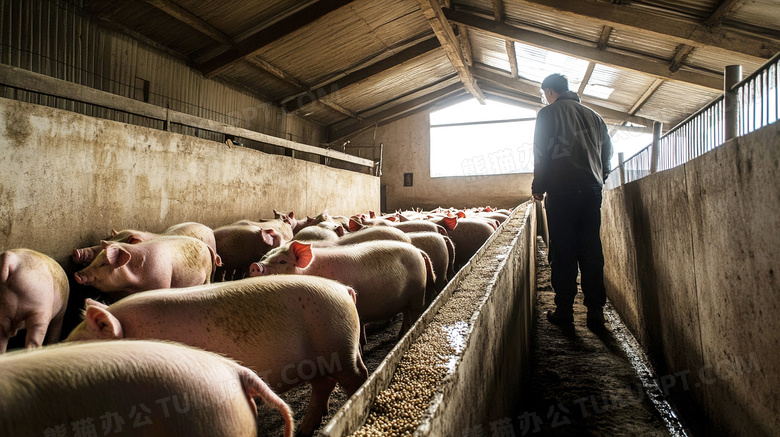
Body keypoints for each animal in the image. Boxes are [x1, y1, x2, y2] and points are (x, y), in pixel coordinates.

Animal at [66, 276, 366, 436]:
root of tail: (344, 289)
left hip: (338, 345)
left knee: (356, 379)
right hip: (321, 357)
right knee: (325, 384)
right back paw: (304, 430)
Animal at [73, 235, 216, 296]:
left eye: (103, 264)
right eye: (95, 260)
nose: (76, 274)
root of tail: (205, 245)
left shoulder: (163, 282)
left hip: (208, 273)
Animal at [250, 240, 432, 342]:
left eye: (282, 261)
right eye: (264, 257)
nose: (255, 266)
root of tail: (418, 250)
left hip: (418, 294)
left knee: (416, 313)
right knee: (406, 315)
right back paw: (401, 335)